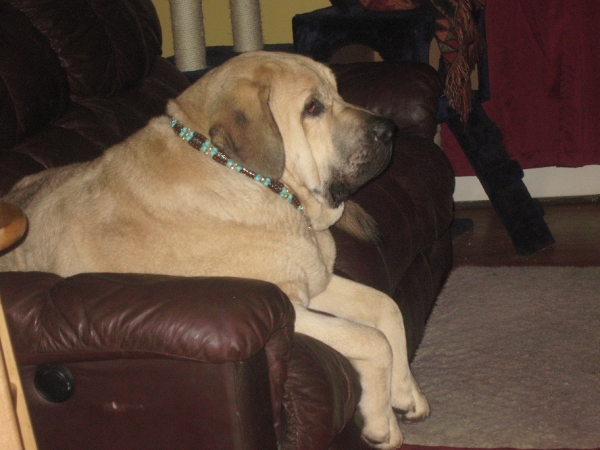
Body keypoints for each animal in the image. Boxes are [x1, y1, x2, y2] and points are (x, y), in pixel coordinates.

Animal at [1, 51, 432, 446]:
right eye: (312, 107)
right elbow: (370, 340)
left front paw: (405, 394)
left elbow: (387, 309)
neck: (247, 174)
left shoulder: (315, 281)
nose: (389, 130)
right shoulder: (291, 306)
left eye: (339, 91)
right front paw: (381, 424)